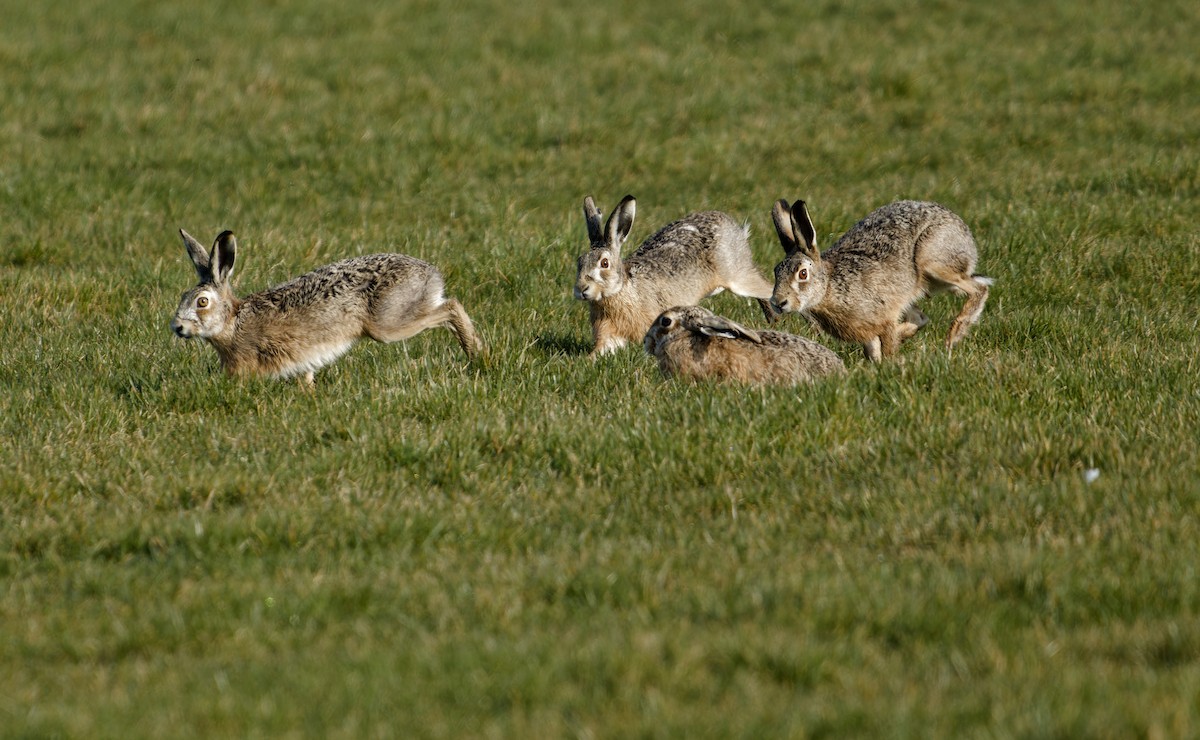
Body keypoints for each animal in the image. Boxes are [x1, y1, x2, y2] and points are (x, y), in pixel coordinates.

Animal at [170, 229, 483, 384]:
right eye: (183, 295)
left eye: (202, 301)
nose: (177, 327)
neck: (232, 323)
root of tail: (431, 275)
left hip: (387, 324)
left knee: (451, 307)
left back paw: (477, 353)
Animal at [574, 194, 776, 356]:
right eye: (579, 261)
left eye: (604, 263)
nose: (581, 289)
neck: (620, 291)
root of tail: (733, 227)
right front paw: (590, 359)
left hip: (738, 278)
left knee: (767, 289)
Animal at [770, 199, 993, 362]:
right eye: (776, 271)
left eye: (802, 274)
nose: (778, 302)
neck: (830, 286)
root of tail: (963, 230)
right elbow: (873, 349)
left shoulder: (885, 318)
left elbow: (887, 345)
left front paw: (888, 363)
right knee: (921, 316)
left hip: (933, 259)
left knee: (978, 288)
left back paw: (953, 337)